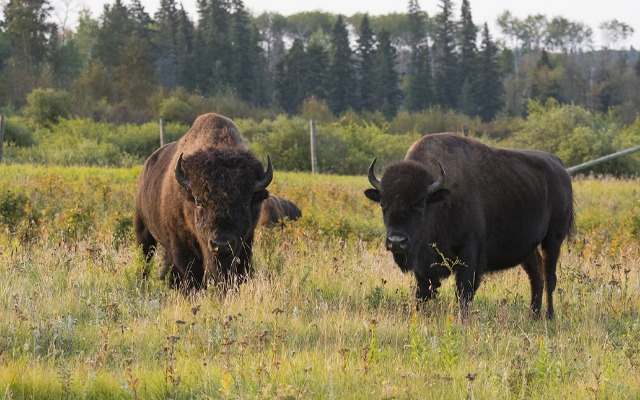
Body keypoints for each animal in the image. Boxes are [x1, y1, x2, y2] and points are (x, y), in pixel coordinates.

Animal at [135, 112, 272, 290]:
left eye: (247, 202)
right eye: (199, 202)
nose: (221, 244)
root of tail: (147, 165)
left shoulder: (245, 242)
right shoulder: (181, 244)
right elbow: (190, 272)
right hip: (143, 230)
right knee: (145, 258)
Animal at [364, 134, 576, 318]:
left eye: (421, 203)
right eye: (383, 204)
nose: (396, 242)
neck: (441, 199)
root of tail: (559, 166)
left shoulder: (470, 252)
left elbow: (463, 291)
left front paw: (462, 320)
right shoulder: (422, 265)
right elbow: (423, 291)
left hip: (553, 239)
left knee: (549, 277)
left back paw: (549, 316)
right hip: (528, 248)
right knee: (536, 276)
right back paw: (533, 315)